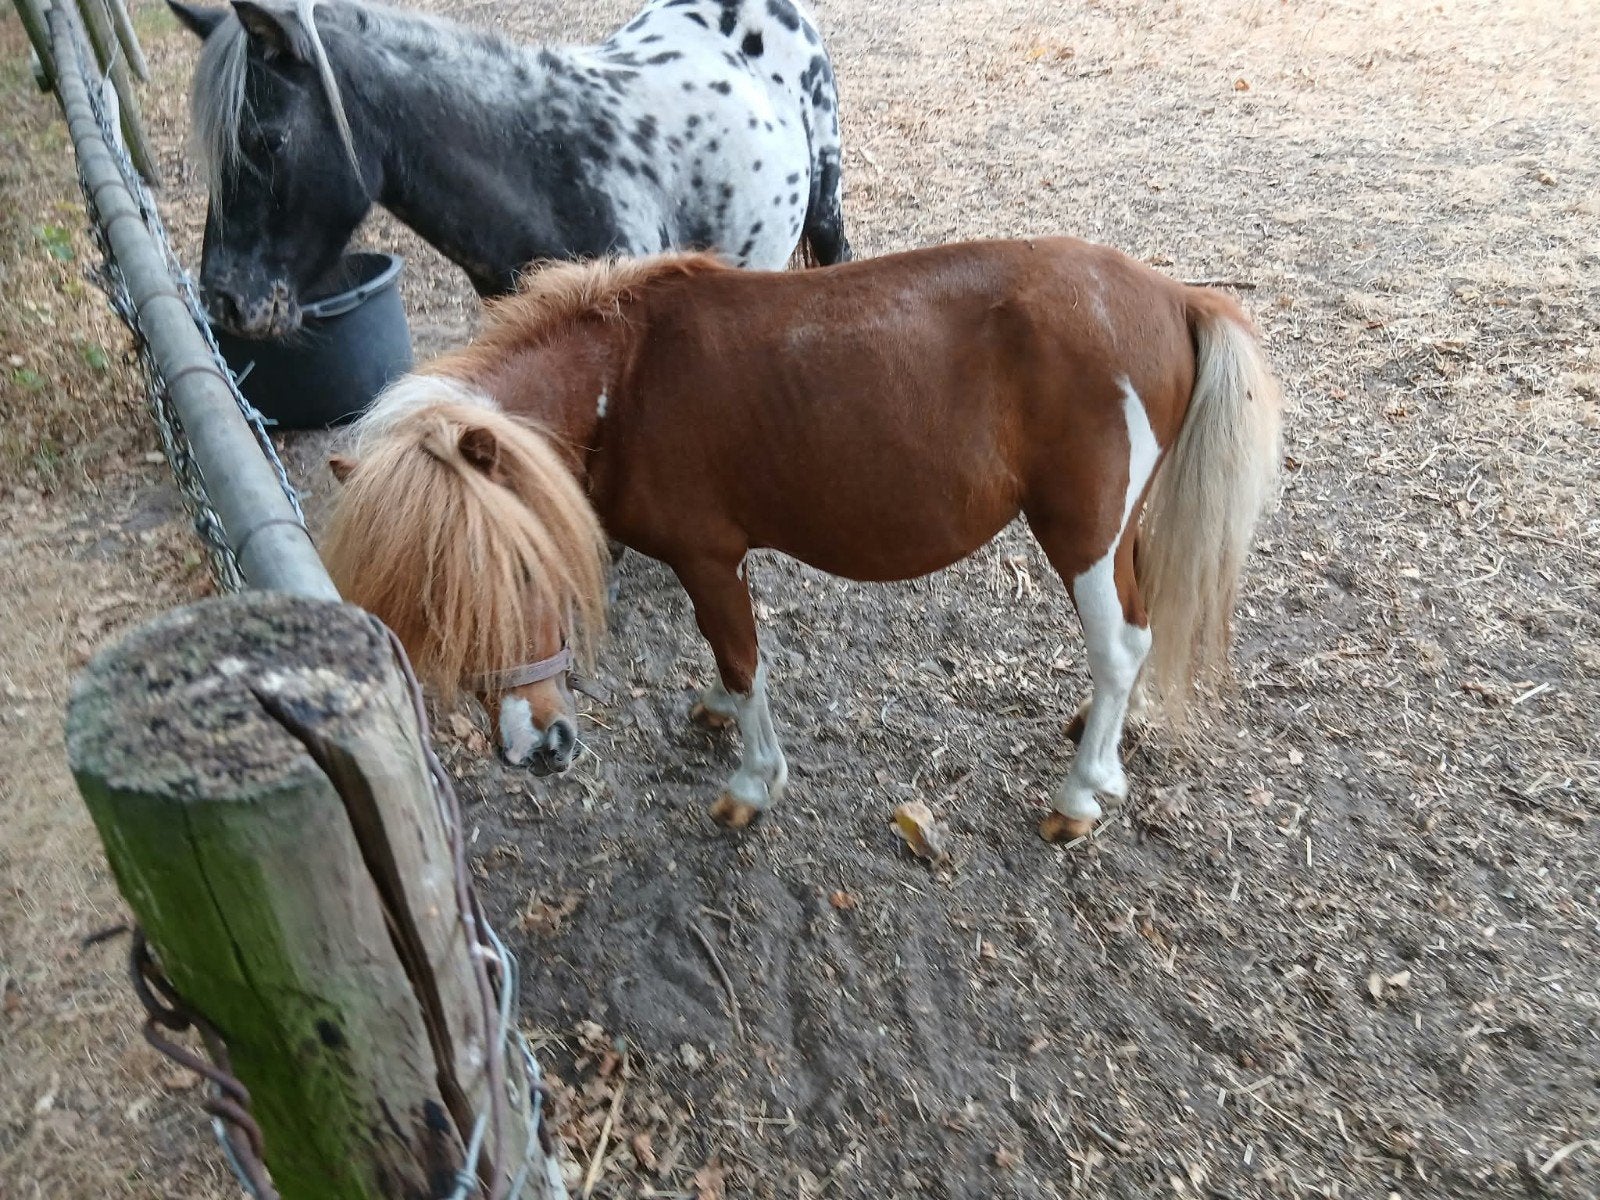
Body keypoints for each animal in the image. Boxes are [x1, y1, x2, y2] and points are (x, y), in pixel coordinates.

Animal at [322, 239, 1283, 843]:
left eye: (526, 568)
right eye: (429, 601)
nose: (536, 750)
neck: (625, 379)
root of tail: (1174, 295)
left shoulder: (708, 557)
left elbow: (743, 658)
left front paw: (751, 785)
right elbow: (727, 661)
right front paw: (713, 711)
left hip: (1079, 530)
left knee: (1120, 645)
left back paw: (1080, 796)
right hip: (1115, 533)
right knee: (1141, 625)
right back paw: (1105, 740)